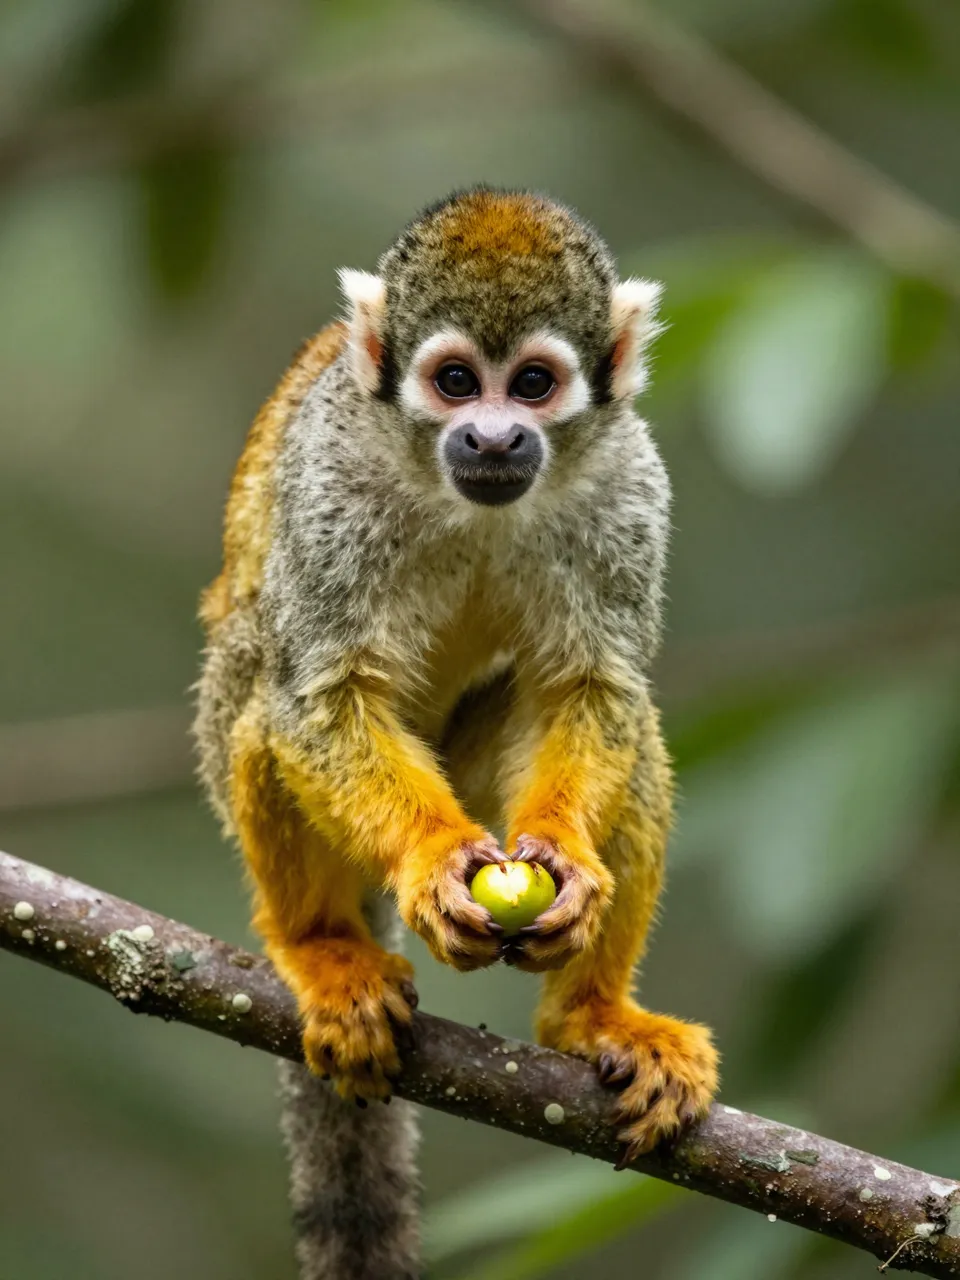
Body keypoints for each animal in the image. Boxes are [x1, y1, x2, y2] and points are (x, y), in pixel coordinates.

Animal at [193, 187, 719, 1280]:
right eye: (454, 382)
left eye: (533, 384)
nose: (490, 438)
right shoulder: (331, 483)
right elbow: (322, 692)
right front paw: (434, 862)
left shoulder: (629, 484)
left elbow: (592, 688)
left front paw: (566, 859)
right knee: (262, 690)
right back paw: (318, 945)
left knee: (631, 728)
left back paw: (587, 1017)